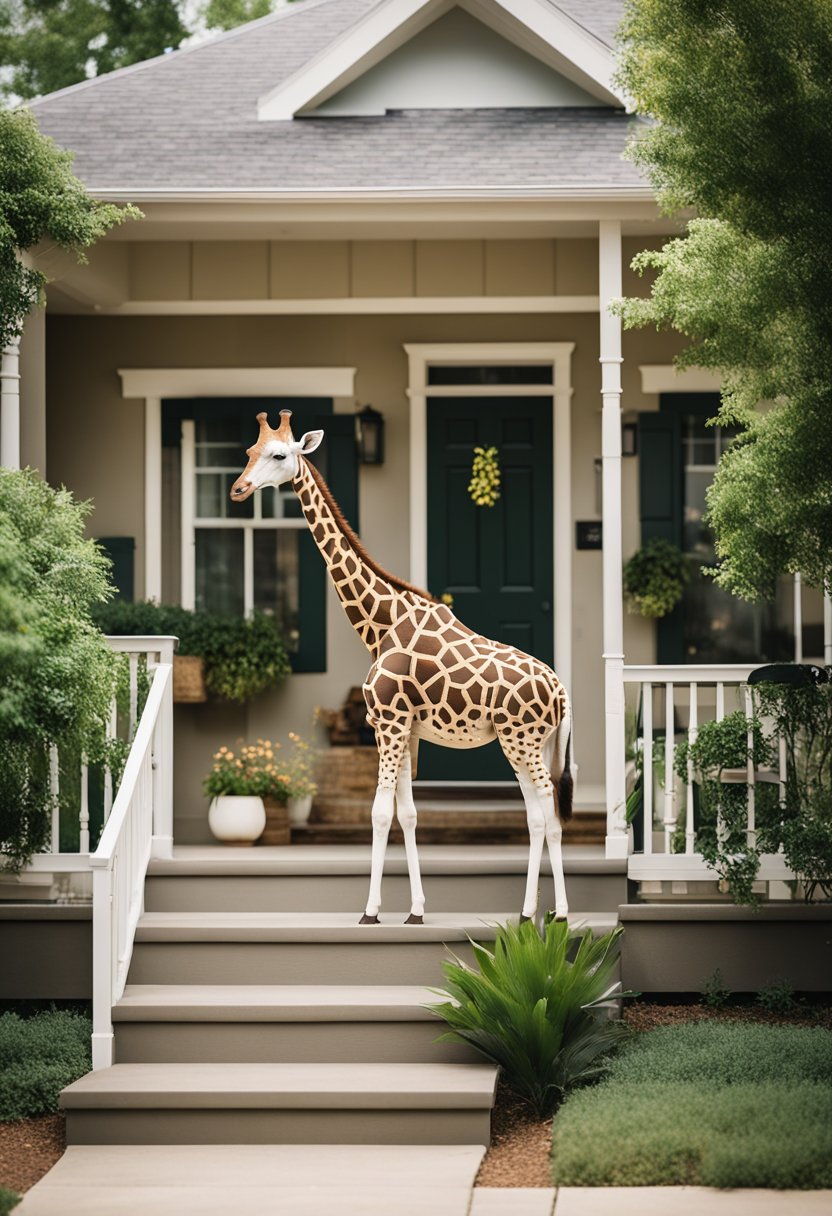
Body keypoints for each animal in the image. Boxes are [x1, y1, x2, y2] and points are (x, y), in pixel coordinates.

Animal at [231, 408, 574, 919]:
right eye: (249, 451)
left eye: (278, 455)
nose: (238, 489)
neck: (381, 624)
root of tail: (562, 693)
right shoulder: (406, 729)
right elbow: (408, 813)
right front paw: (416, 909)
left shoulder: (388, 723)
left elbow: (378, 812)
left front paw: (370, 911)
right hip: (532, 744)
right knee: (540, 815)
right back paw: (536, 913)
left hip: (522, 740)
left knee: (546, 814)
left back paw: (553, 913)